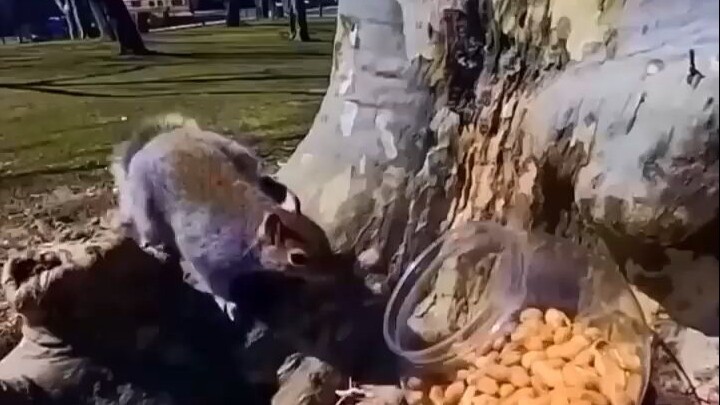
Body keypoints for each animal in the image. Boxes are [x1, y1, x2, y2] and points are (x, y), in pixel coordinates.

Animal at [110, 114, 351, 320]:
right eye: (298, 258)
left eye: (323, 235)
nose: (338, 275)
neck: (248, 226)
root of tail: (155, 142)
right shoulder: (203, 252)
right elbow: (212, 282)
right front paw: (227, 302)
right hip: (144, 204)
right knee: (146, 229)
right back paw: (153, 247)